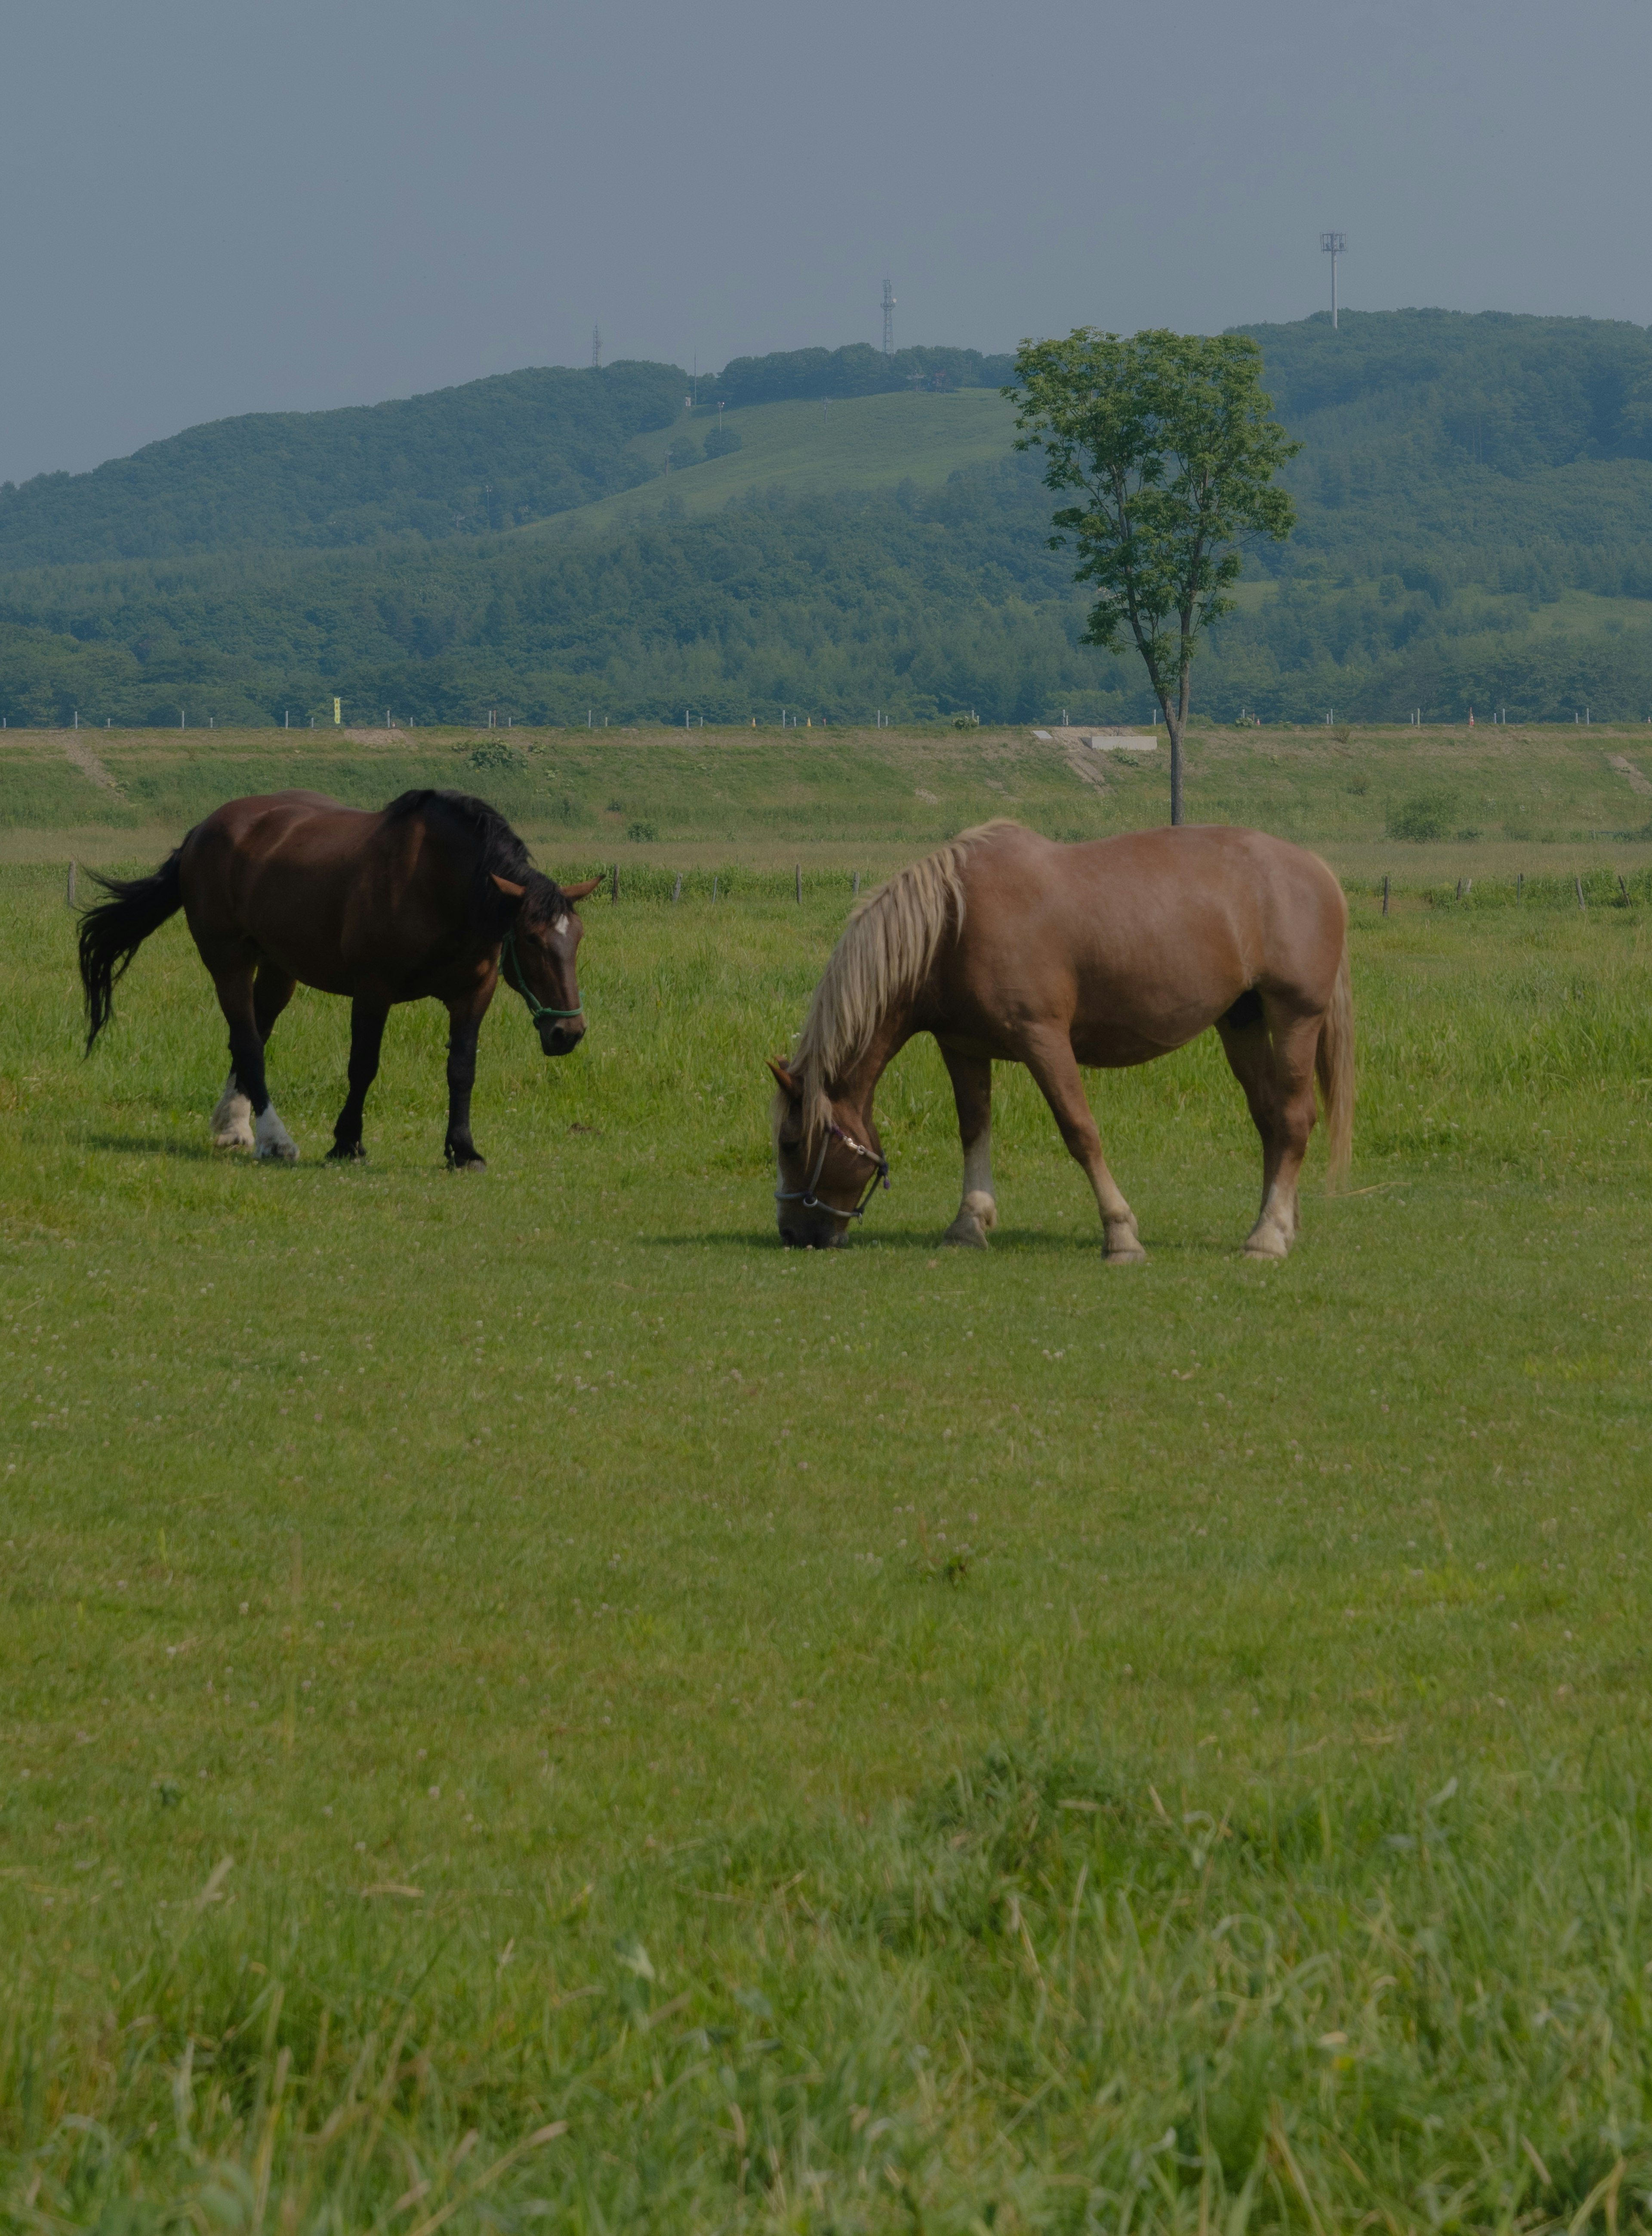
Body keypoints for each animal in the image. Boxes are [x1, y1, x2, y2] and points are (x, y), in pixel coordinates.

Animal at [77, 791, 603, 1171]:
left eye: (577, 938)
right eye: (532, 940)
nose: (568, 1033)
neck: (435, 884)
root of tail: (202, 831)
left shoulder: (473, 994)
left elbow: (462, 1070)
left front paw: (463, 1150)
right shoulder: (373, 992)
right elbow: (363, 1066)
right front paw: (347, 1142)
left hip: (278, 969)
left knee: (251, 1036)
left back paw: (235, 1126)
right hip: (228, 962)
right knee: (248, 1043)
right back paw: (275, 1140)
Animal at [769, 823, 1350, 1261]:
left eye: (790, 1144)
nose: (793, 1233)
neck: (953, 924)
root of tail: (1317, 868)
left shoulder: (1043, 1039)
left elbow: (1080, 1131)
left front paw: (1120, 1233)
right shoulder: (963, 1046)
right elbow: (974, 1129)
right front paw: (968, 1223)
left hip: (1295, 1017)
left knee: (1294, 1120)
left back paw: (1268, 1236)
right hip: (1241, 1022)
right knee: (1270, 1119)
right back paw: (1277, 1221)